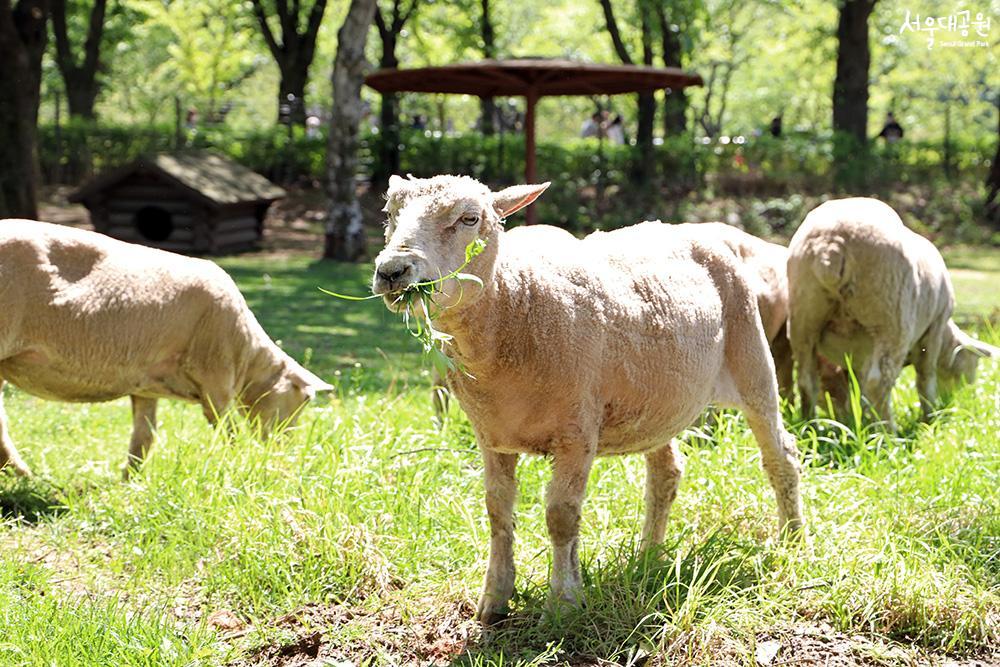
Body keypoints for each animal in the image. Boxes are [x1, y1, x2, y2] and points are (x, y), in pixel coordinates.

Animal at [0, 222, 336, 478]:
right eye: (304, 400)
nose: (283, 449)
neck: (247, 355)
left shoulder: (145, 385)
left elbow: (144, 436)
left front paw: (130, 482)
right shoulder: (216, 379)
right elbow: (227, 431)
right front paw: (240, 464)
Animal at [372, 176, 800, 628]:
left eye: (469, 218)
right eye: (390, 213)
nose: (392, 271)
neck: (516, 305)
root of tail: (696, 230)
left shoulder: (576, 431)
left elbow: (561, 516)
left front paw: (563, 605)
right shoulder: (491, 436)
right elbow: (497, 511)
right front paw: (495, 601)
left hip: (752, 359)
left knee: (781, 456)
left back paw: (791, 541)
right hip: (655, 401)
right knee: (665, 472)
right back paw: (648, 557)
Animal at [788, 198, 992, 428]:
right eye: (972, 368)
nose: (956, 400)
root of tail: (830, 246)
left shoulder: (859, 355)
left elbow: (857, 389)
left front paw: (858, 420)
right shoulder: (935, 326)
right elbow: (926, 377)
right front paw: (929, 418)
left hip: (804, 318)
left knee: (806, 380)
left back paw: (810, 425)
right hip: (892, 318)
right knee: (878, 382)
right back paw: (888, 431)